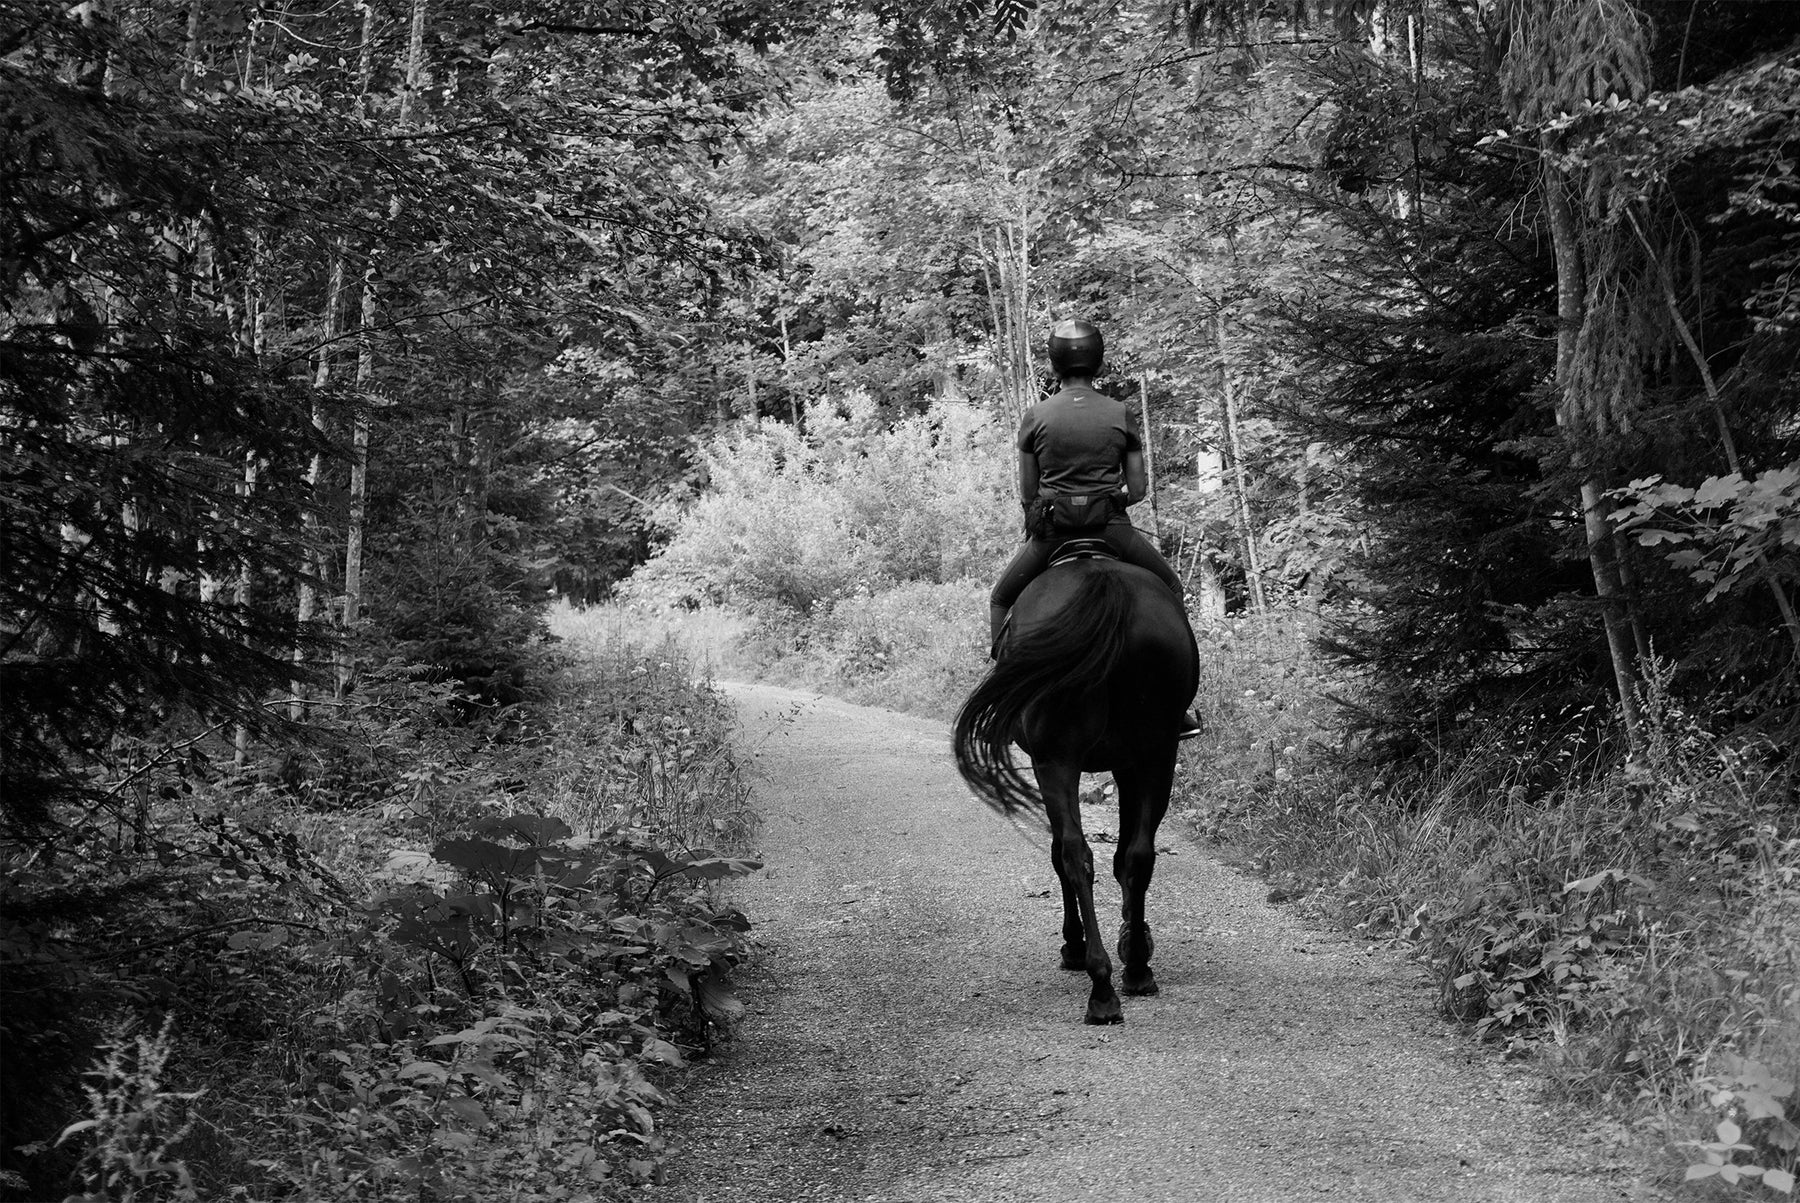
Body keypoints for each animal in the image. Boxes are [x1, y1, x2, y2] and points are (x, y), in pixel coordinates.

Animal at [957, 551, 1195, 1022]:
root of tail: (1104, 584)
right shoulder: (1130, 763)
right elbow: (1124, 856)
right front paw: (1132, 937)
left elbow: (1063, 852)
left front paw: (1077, 943)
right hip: (1156, 754)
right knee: (1136, 855)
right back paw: (1134, 969)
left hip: (1058, 760)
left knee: (1073, 854)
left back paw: (1099, 982)